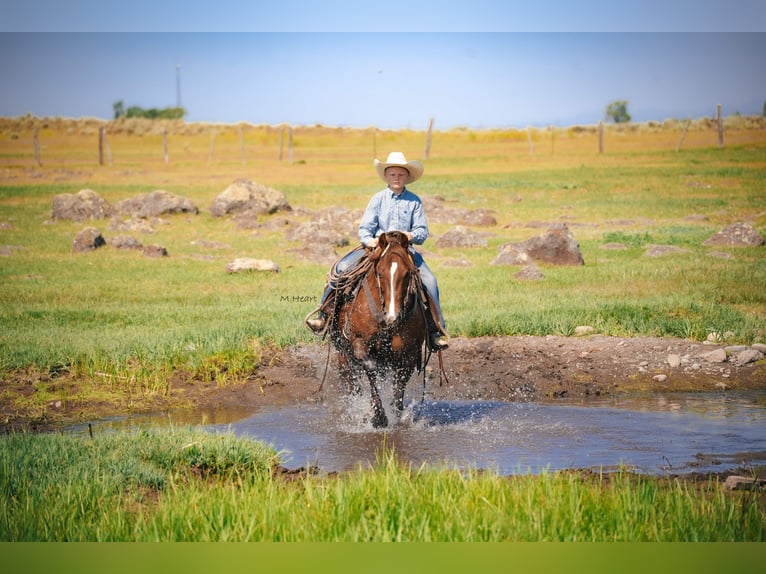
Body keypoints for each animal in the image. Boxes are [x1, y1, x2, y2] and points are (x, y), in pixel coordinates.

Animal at [329, 231, 428, 428]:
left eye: (407, 273)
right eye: (380, 272)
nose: (392, 316)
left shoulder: (409, 355)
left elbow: (399, 388)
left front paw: (397, 416)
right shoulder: (359, 343)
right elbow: (370, 369)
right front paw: (378, 416)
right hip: (343, 359)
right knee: (353, 385)